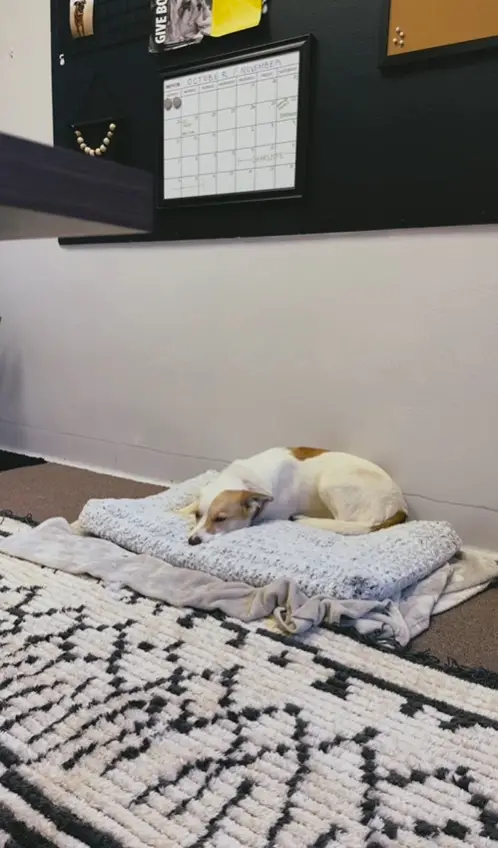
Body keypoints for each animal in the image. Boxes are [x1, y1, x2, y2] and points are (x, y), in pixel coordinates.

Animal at [181, 448, 406, 548]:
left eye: (220, 519)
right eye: (197, 515)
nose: (192, 540)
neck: (246, 480)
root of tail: (400, 506)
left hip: (330, 483)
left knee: (345, 524)